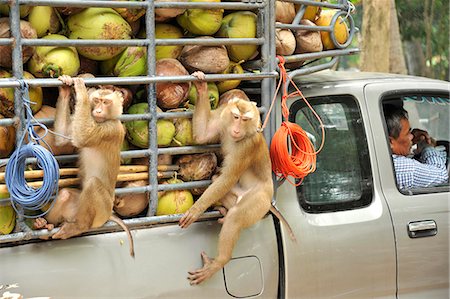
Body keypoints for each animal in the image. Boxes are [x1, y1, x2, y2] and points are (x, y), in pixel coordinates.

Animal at [34, 75, 134, 258]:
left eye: (106, 102)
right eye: (97, 100)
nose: (98, 110)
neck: (104, 120)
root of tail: (110, 214)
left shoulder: (111, 129)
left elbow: (83, 137)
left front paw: (81, 90)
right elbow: (63, 139)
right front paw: (66, 88)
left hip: (101, 211)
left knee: (93, 184)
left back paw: (80, 227)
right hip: (75, 209)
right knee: (65, 195)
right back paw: (45, 227)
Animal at [179, 72, 296, 286]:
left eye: (245, 119)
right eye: (235, 117)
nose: (236, 129)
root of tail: (270, 200)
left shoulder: (246, 147)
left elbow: (228, 177)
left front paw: (196, 210)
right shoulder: (222, 122)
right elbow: (202, 136)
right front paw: (201, 87)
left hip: (258, 203)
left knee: (236, 218)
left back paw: (219, 261)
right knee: (217, 181)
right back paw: (224, 213)